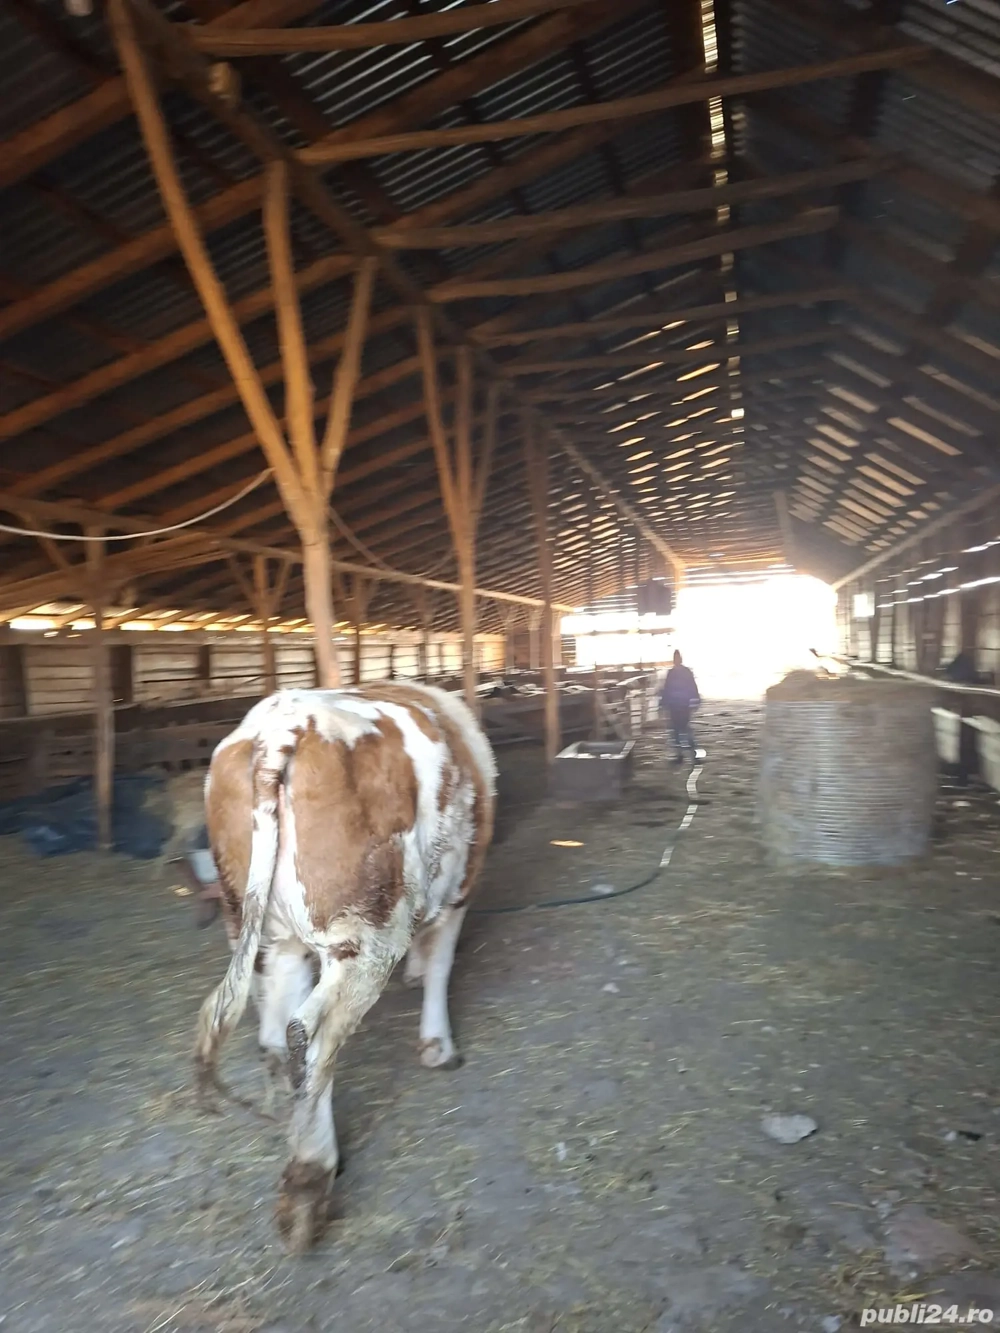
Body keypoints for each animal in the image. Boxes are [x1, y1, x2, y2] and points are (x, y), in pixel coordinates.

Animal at [192, 682, 496, 1252]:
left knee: (274, 1038)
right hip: (365, 936)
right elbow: (442, 965)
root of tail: (280, 725)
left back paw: (295, 1134)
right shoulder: (460, 893)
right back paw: (309, 1183)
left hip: (263, 931)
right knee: (308, 1037)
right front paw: (438, 1045)